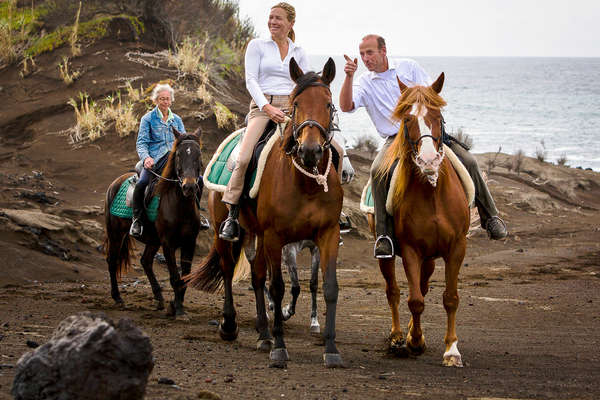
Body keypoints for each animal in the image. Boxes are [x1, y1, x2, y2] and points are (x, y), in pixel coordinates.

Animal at [103, 129, 204, 318]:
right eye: (178, 155)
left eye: (198, 154)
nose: (189, 187)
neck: (179, 205)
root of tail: (114, 183)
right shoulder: (168, 243)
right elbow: (175, 277)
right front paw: (178, 309)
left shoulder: (189, 242)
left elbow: (185, 276)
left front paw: (175, 304)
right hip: (116, 234)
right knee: (112, 261)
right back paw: (118, 298)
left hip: (152, 240)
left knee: (145, 261)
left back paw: (159, 298)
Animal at [188, 57, 346, 368]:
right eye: (295, 104)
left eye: (328, 104)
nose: (310, 150)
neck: (307, 183)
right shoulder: (276, 237)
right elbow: (278, 288)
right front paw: (280, 349)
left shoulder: (327, 235)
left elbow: (329, 287)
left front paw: (332, 349)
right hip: (227, 231)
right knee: (228, 269)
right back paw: (230, 326)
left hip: (256, 234)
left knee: (257, 275)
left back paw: (263, 334)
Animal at [372, 73, 472, 368]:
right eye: (407, 118)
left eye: (438, 116)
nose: (428, 160)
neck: (432, 192)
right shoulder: (410, 249)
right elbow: (414, 299)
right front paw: (414, 341)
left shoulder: (456, 248)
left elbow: (450, 298)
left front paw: (452, 350)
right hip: (390, 255)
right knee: (393, 291)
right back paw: (397, 336)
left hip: (430, 257)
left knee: (424, 286)